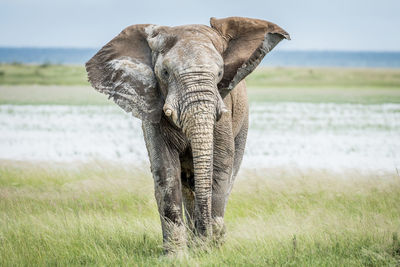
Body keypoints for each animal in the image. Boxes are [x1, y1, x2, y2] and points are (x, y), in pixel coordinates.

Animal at [86, 16, 290, 253]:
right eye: (165, 73)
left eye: (220, 73)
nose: (208, 237)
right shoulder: (153, 110)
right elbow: (165, 168)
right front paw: (177, 255)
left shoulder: (222, 106)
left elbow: (220, 164)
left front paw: (211, 248)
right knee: (187, 184)